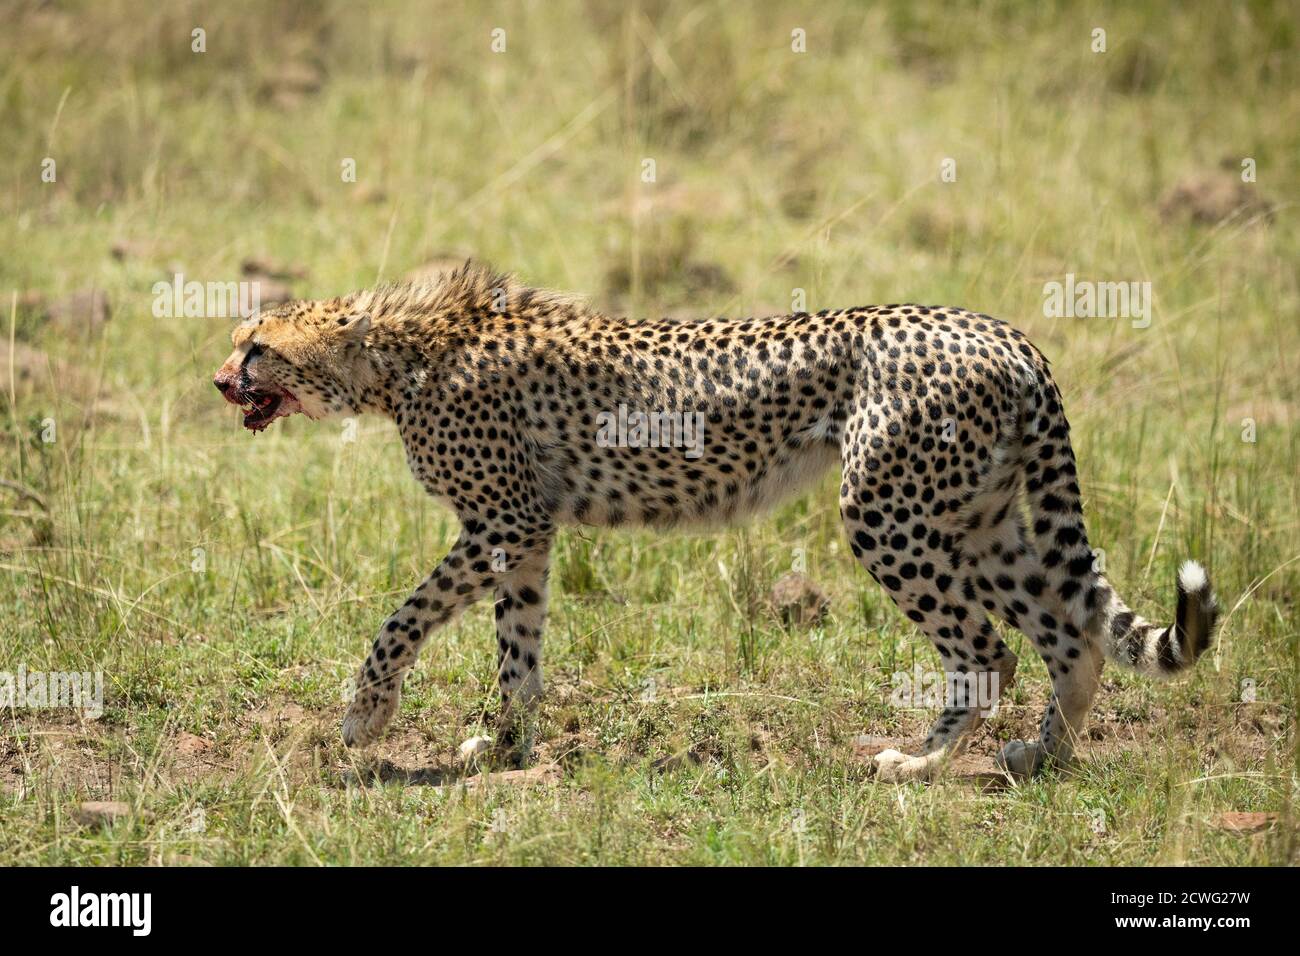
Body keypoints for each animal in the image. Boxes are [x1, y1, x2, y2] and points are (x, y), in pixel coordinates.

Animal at [213, 260, 1216, 780]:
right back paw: (1041, 755)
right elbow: (518, 650)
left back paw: (919, 765)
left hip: (887, 512)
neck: (402, 352)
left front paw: (366, 718)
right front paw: (505, 748)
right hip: (980, 515)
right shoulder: (527, 536)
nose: (219, 382)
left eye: (257, 347)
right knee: (1072, 630)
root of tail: (1003, 331)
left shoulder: (501, 522)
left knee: (989, 647)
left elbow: (404, 618)